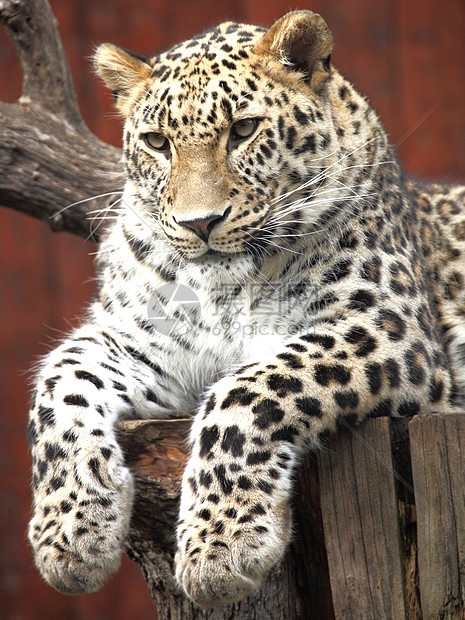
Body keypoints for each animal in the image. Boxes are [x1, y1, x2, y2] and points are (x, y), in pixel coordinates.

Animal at [27, 8, 464, 612]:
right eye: (157, 142)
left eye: (243, 130)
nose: (199, 223)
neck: (225, 293)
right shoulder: (143, 343)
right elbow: (59, 383)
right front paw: (70, 532)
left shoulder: (389, 327)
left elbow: (249, 389)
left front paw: (220, 546)